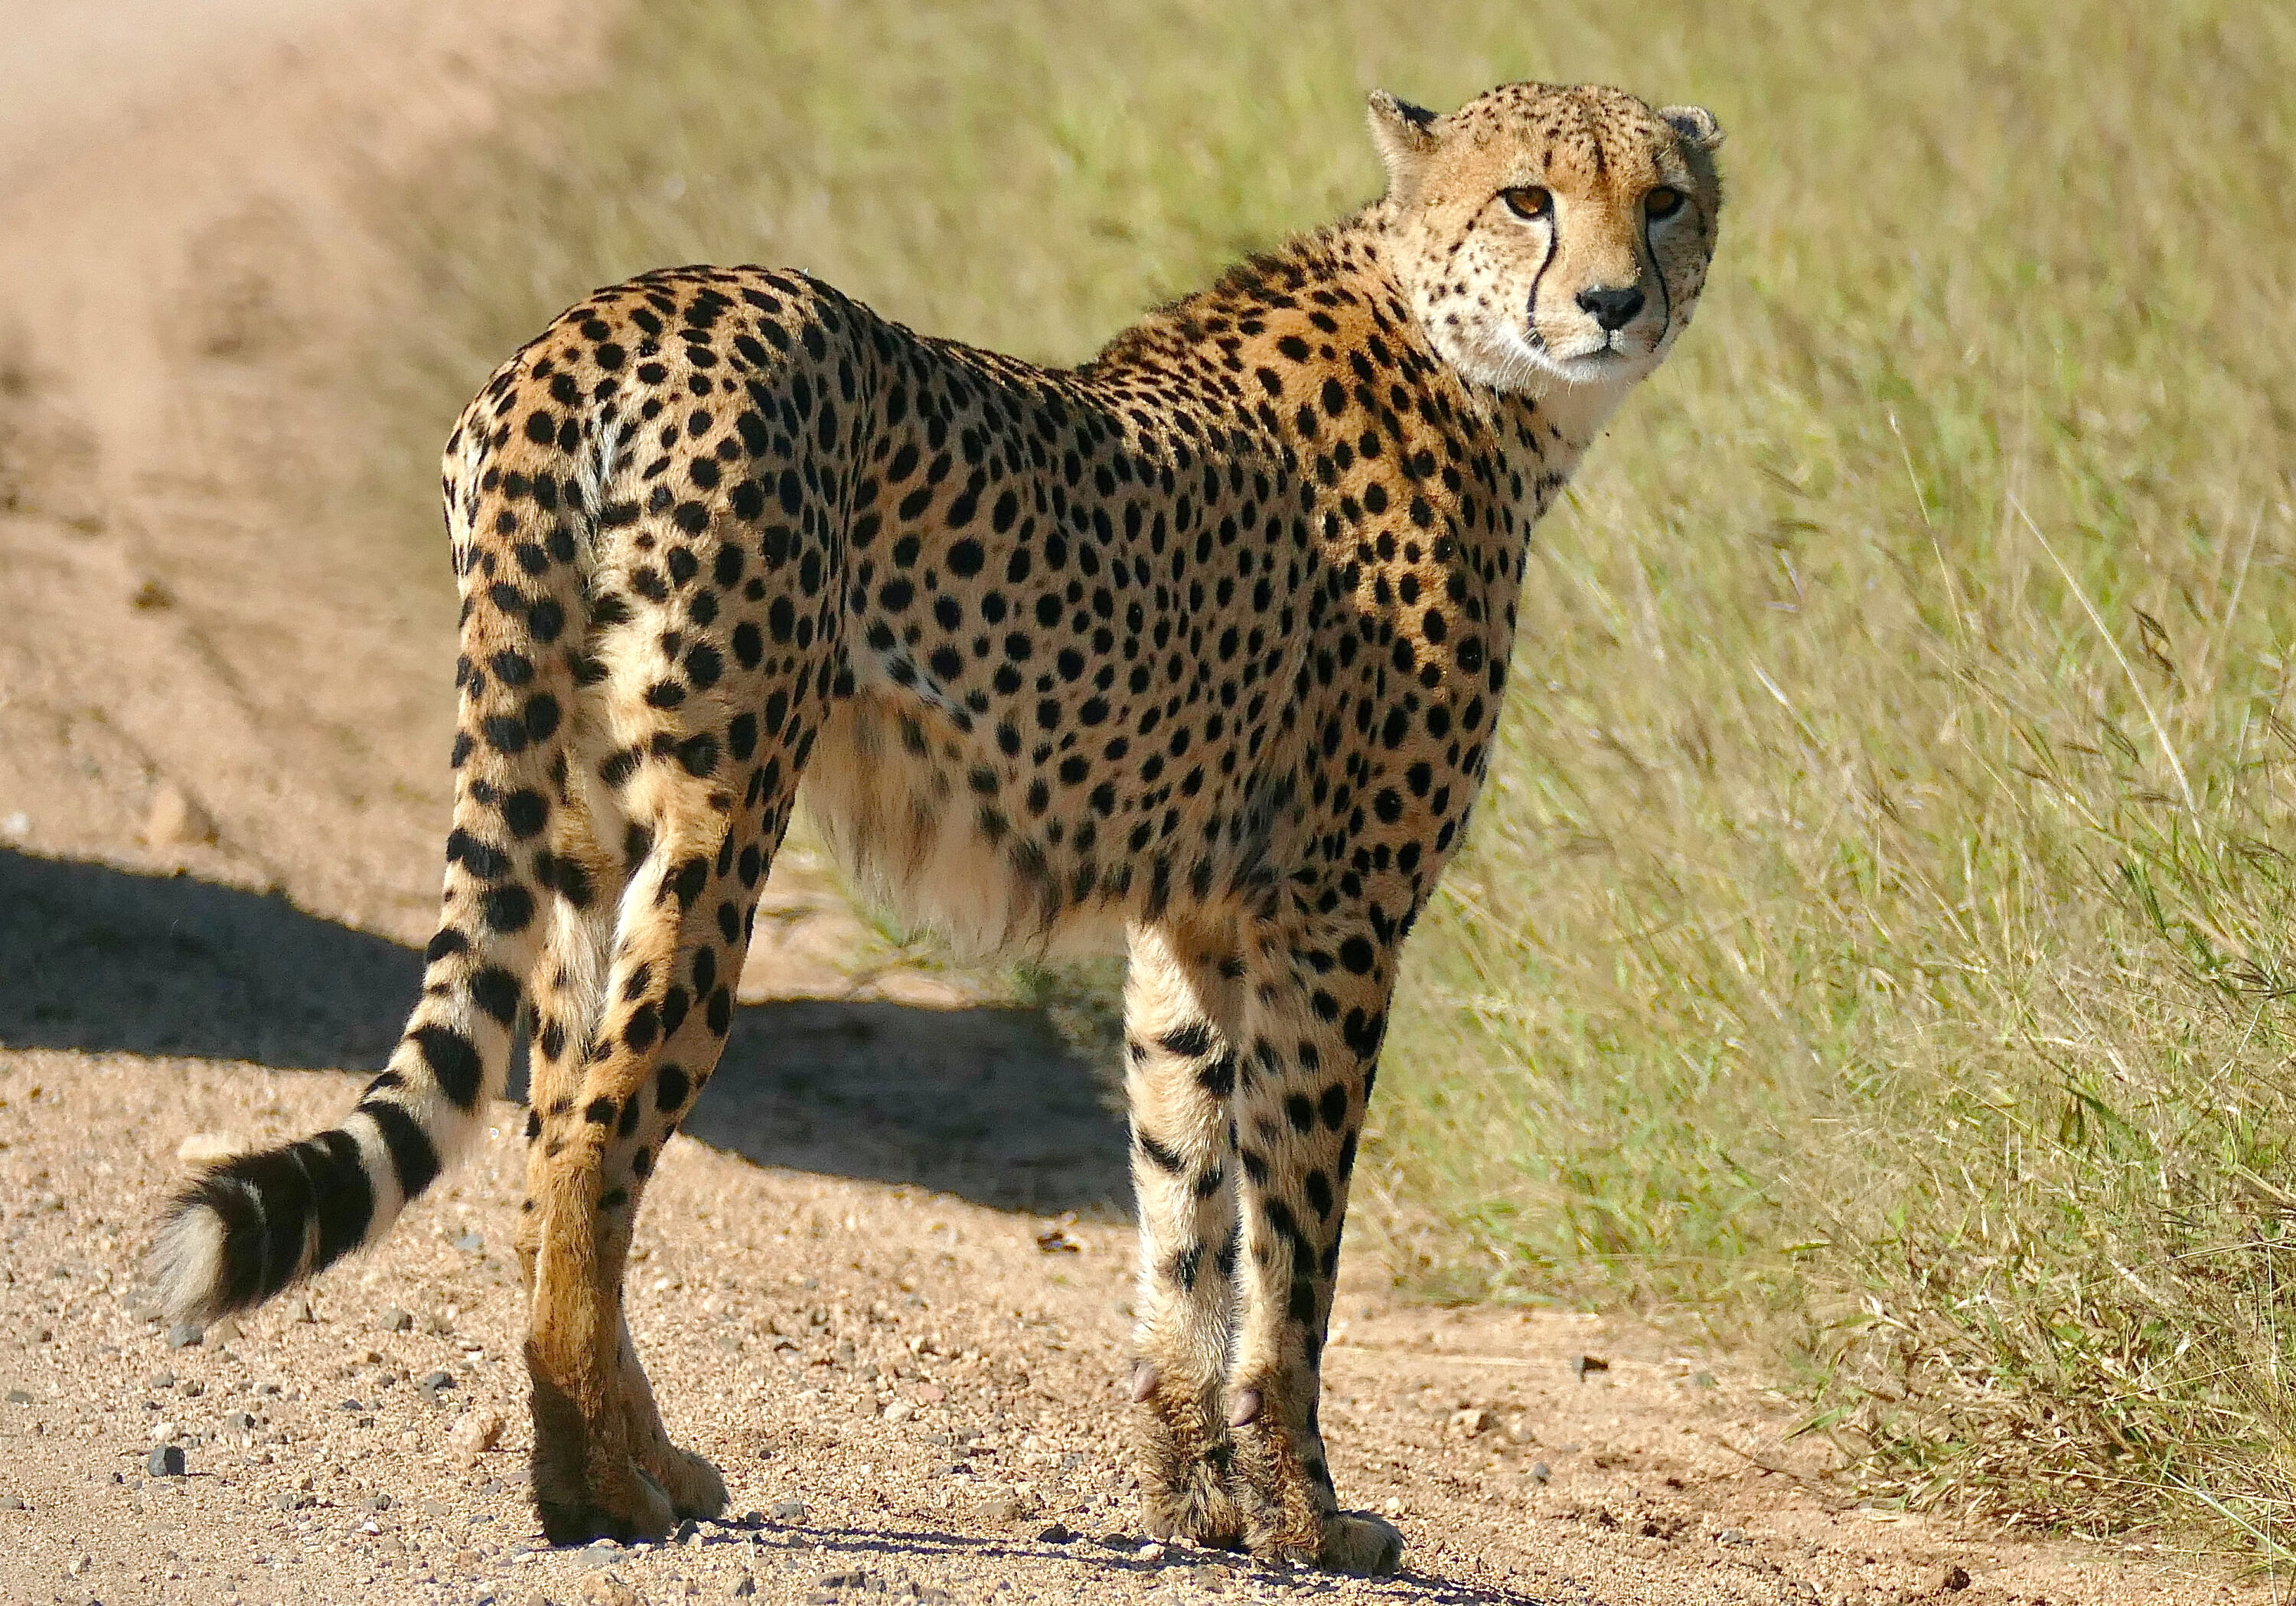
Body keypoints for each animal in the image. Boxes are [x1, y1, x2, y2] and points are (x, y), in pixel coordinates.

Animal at [151, 80, 1722, 1574]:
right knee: (594, 1146)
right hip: (720, 817)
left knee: (544, 1147)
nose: (1613, 301)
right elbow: (1293, 1252)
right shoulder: (1336, 921)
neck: (1469, 368)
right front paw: (1307, 1519)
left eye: (1662, 200)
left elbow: (1185, 1214)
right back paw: (602, 1493)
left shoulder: (1196, 926)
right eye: (1528, 198)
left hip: (583, 829)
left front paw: (1202, 1504)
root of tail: (609, 317)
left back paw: (633, 1463)